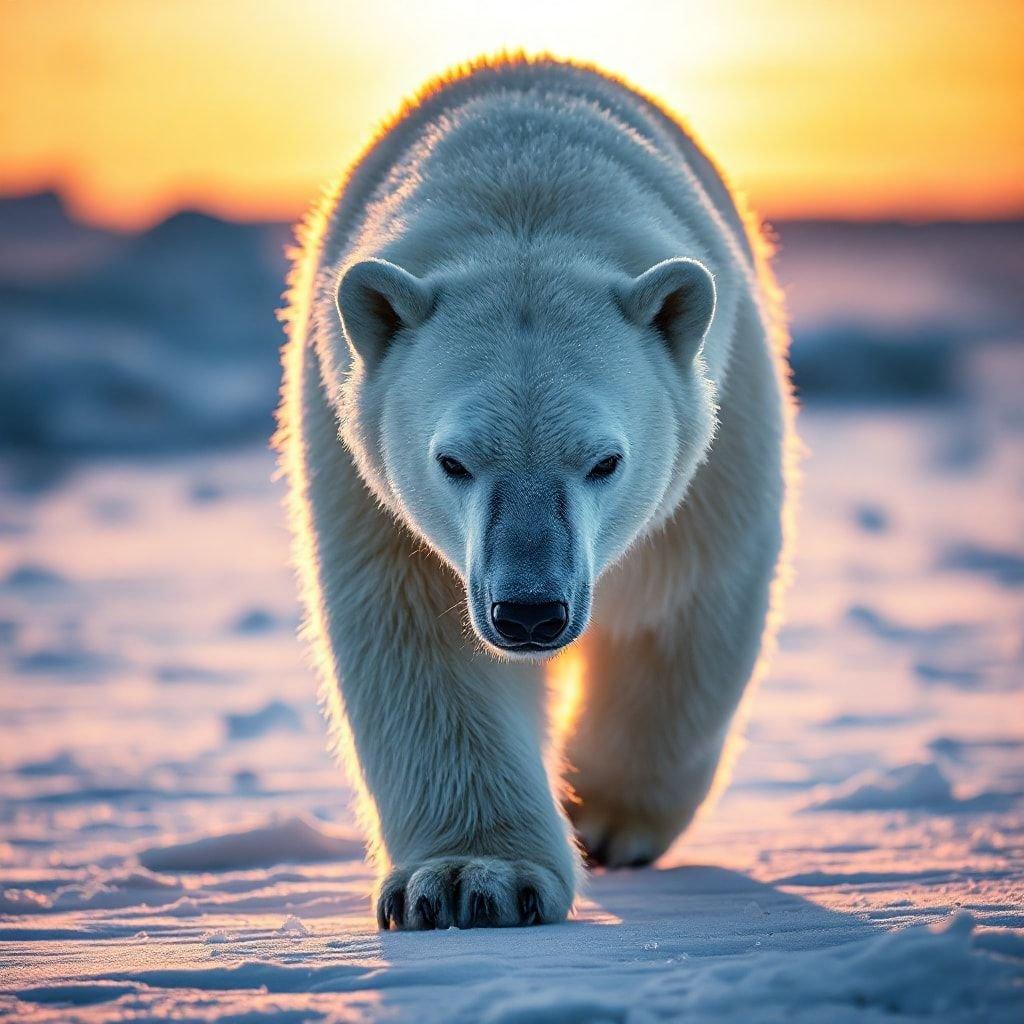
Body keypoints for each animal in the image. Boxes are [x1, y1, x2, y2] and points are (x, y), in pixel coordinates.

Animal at [276, 59, 794, 933]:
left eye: (605, 461)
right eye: (452, 461)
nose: (528, 613)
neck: (527, 182)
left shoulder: (719, 433)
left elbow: (676, 606)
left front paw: (606, 814)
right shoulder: (359, 461)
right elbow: (420, 633)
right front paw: (466, 882)